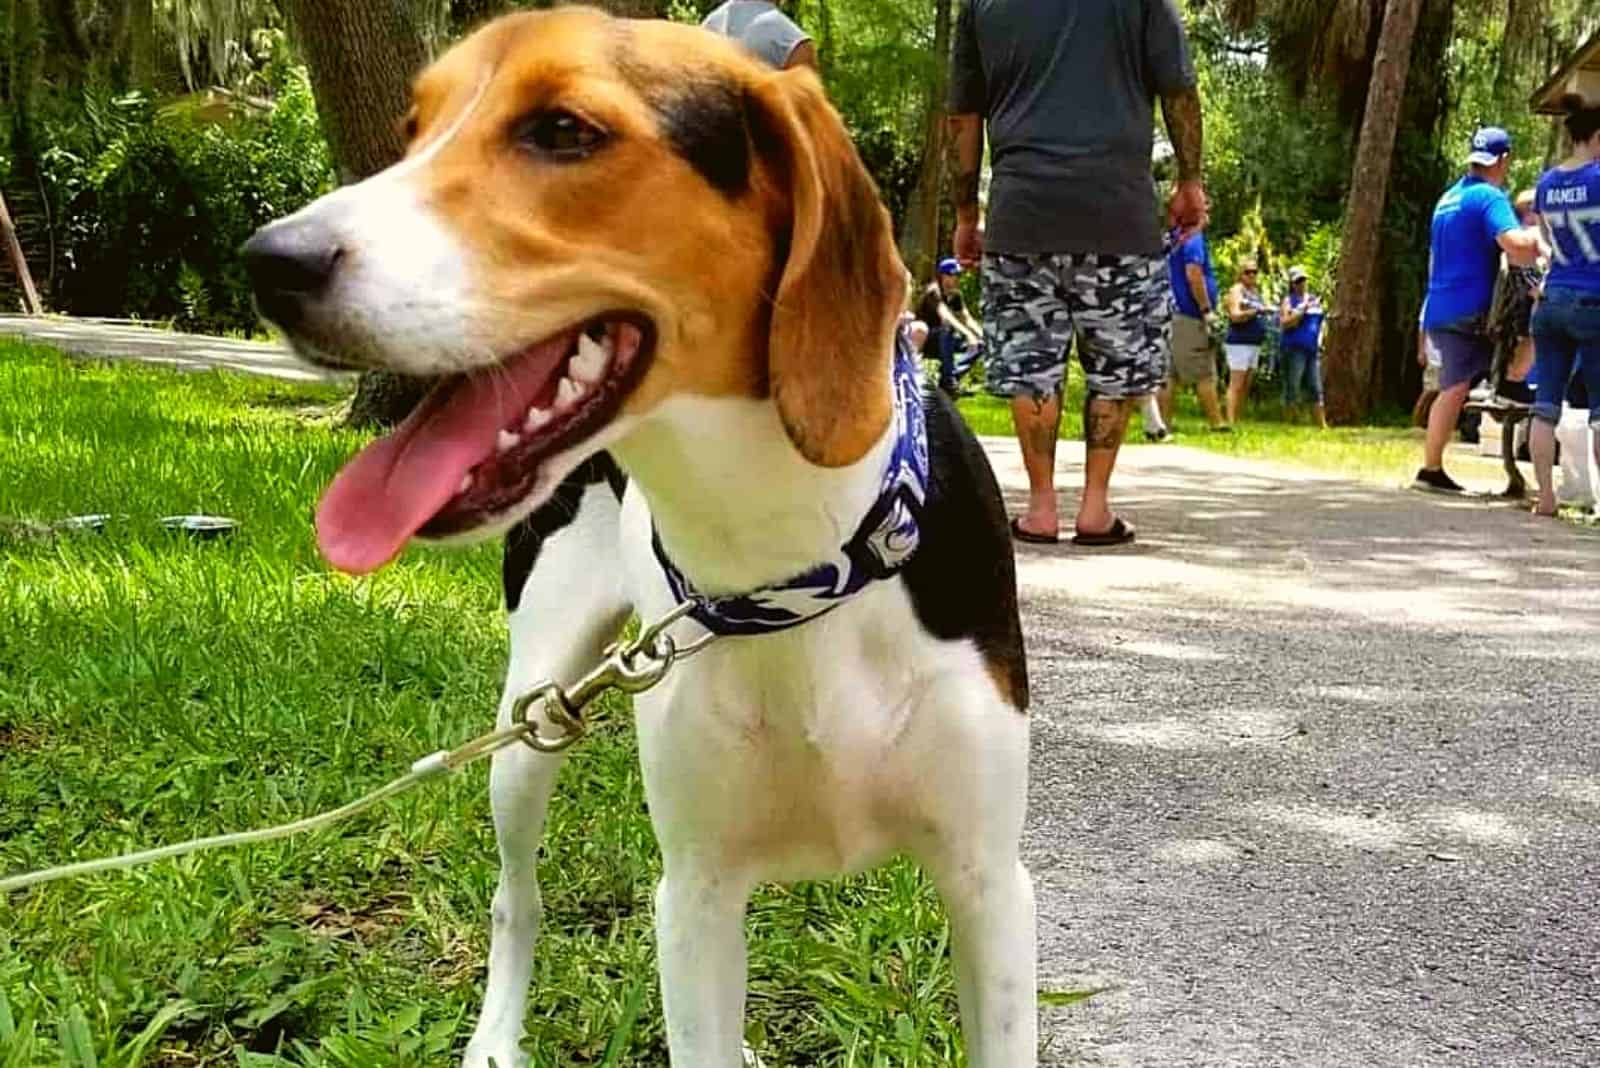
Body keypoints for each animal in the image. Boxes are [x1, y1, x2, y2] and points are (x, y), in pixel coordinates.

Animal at [238, 6, 1036, 1061]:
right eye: (412, 134)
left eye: (563, 130)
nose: (268, 262)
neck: (788, 563)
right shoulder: (691, 895)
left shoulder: (990, 887)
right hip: (530, 722)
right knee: (516, 899)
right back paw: (497, 1033)